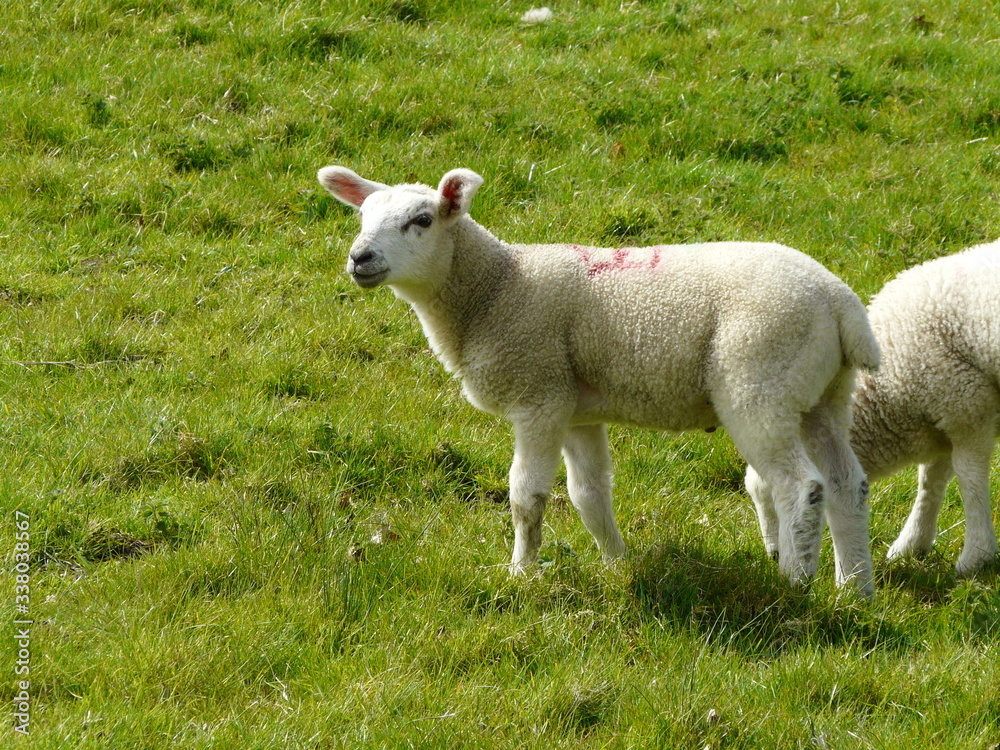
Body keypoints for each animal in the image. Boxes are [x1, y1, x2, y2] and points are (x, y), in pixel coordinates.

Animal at [318, 165, 880, 595]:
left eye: (422, 219)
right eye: (362, 216)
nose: (360, 258)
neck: (495, 288)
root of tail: (840, 302)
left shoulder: (539, 394)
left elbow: (526, 496)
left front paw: (521, 573)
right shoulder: (575, 410)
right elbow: (589, 496)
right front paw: (618, 563)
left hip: (760, 384)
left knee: (800, 487)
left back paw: (796, 581)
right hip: (823, 395)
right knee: (846, 484)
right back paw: (854, 587)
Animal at [746, 240, 1000, 577]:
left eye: (776, 502)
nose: (773, 556)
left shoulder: (969, 407)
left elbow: (970, 479)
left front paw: (976, 556)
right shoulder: (944, 413)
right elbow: (931, 479)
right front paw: (912, 544)